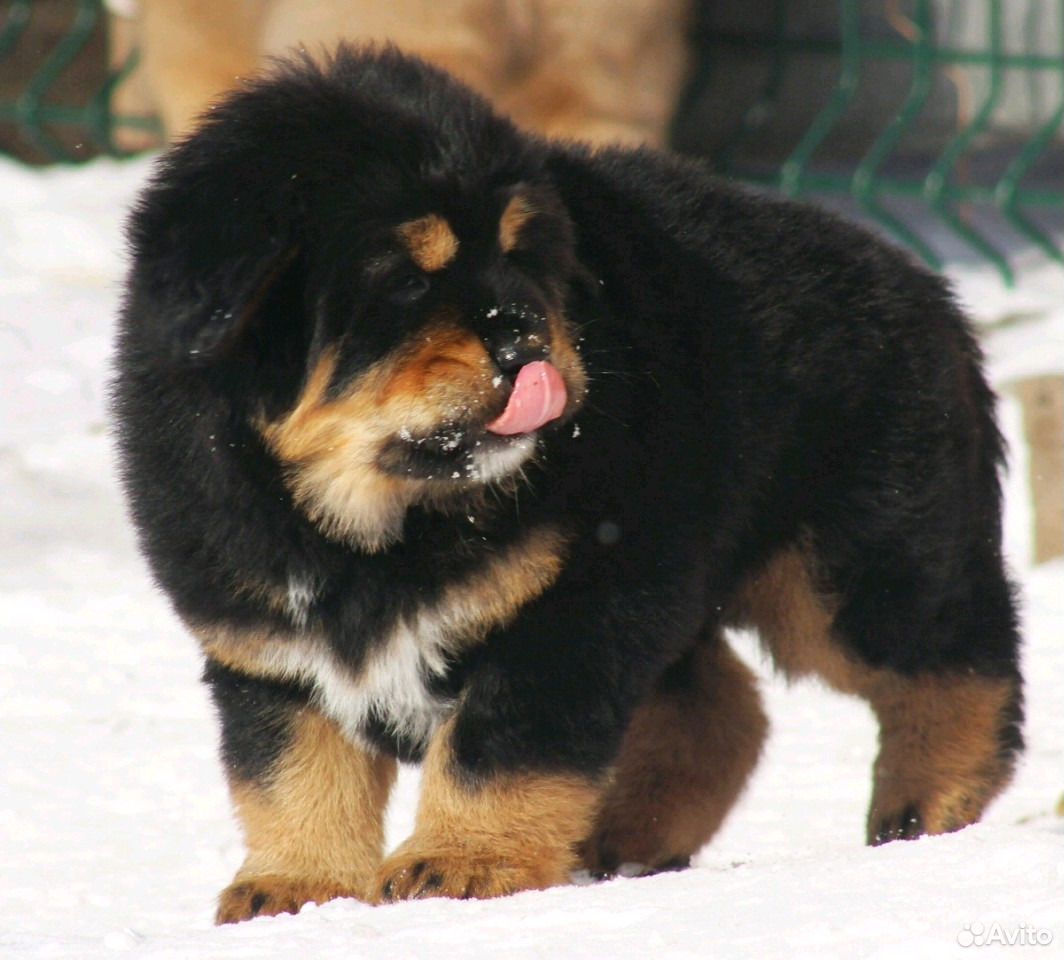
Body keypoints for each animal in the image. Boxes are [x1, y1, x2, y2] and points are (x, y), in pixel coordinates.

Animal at [112, 45, 1025, 923]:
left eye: (520, 257)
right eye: (404, 280)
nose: (526, 337)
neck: (372, 527)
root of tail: (931, 288)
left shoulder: (564, 611)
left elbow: (492, 752)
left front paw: (463, 863)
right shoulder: (270, 641)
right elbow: (292, 772)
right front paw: (297, 885)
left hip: (845, 562)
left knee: (956, 656)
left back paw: (928, 804)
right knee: (721, 710)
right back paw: (625, 842)